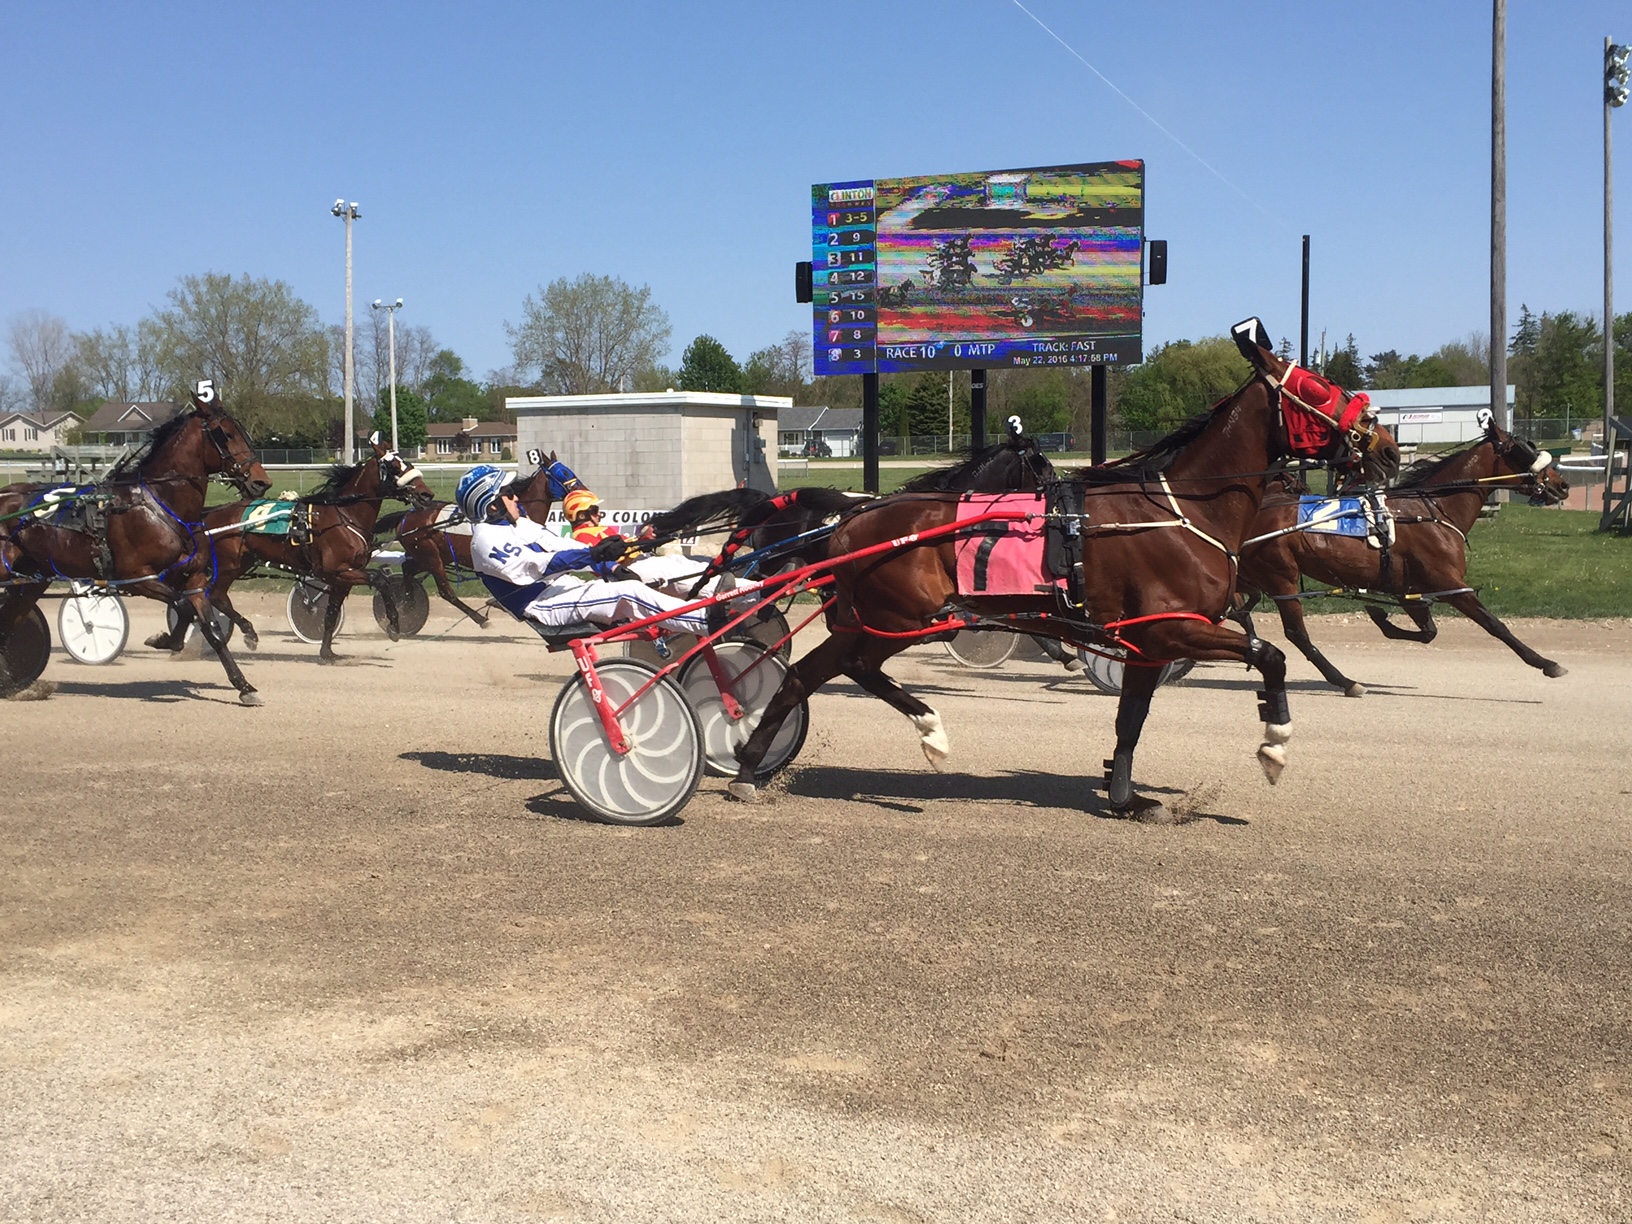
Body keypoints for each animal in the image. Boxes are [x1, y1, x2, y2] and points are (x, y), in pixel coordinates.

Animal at [0, 388, 270, 705]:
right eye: (225, 434)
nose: (261, 482)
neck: (161, 504)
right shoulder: (138, 577)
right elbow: (181, 606)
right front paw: (165, 639)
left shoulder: (193, 577)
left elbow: (210, 628)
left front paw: (244, 686)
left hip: (31, 579)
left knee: (9, 621)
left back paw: (11, 684)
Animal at [158, 440, 437, 665]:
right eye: (395, 467)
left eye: (408, 462)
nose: (426, 494)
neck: (344, 516)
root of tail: (209, 515)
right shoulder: (339, 571)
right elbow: (380, 580)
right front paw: (394, 626)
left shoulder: (342, 577)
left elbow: (331, 614)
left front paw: (327, 653)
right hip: (227, 565)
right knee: (214, 595)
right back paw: (246, 633)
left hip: (242, 562)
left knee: (215, 596)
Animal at [375, 460, 587, 633]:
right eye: (563, 472)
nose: (583, 490)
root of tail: (406, 515)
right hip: (431, 557)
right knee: (446, 592)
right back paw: (477, 619)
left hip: (433, 556)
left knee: (407, 568)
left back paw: (407, 603)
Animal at [727, 321, 1403, 825]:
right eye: (1318, 388)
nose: (1388, 446)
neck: (1181, 508)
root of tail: (852, 514)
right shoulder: (1173, 626)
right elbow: (1271, 656)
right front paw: (1274, 744)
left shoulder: (1148, 640)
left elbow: (1131, 719)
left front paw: (1127, 797)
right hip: (897, 618)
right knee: (832, 671)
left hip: (883, 619)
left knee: (825, 671)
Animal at [1233, 414, 1566, 695]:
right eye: (1524, 449)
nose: (1562, 485)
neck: (1433, 510)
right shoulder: (1448, 583)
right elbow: (1494, 624)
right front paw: (1546, 663)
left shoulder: (1408, 587)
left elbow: (1428, 631)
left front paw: (1381, 617)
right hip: (1281, 576)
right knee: (1296, 632)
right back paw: (1345, 681)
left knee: (1245, 606)